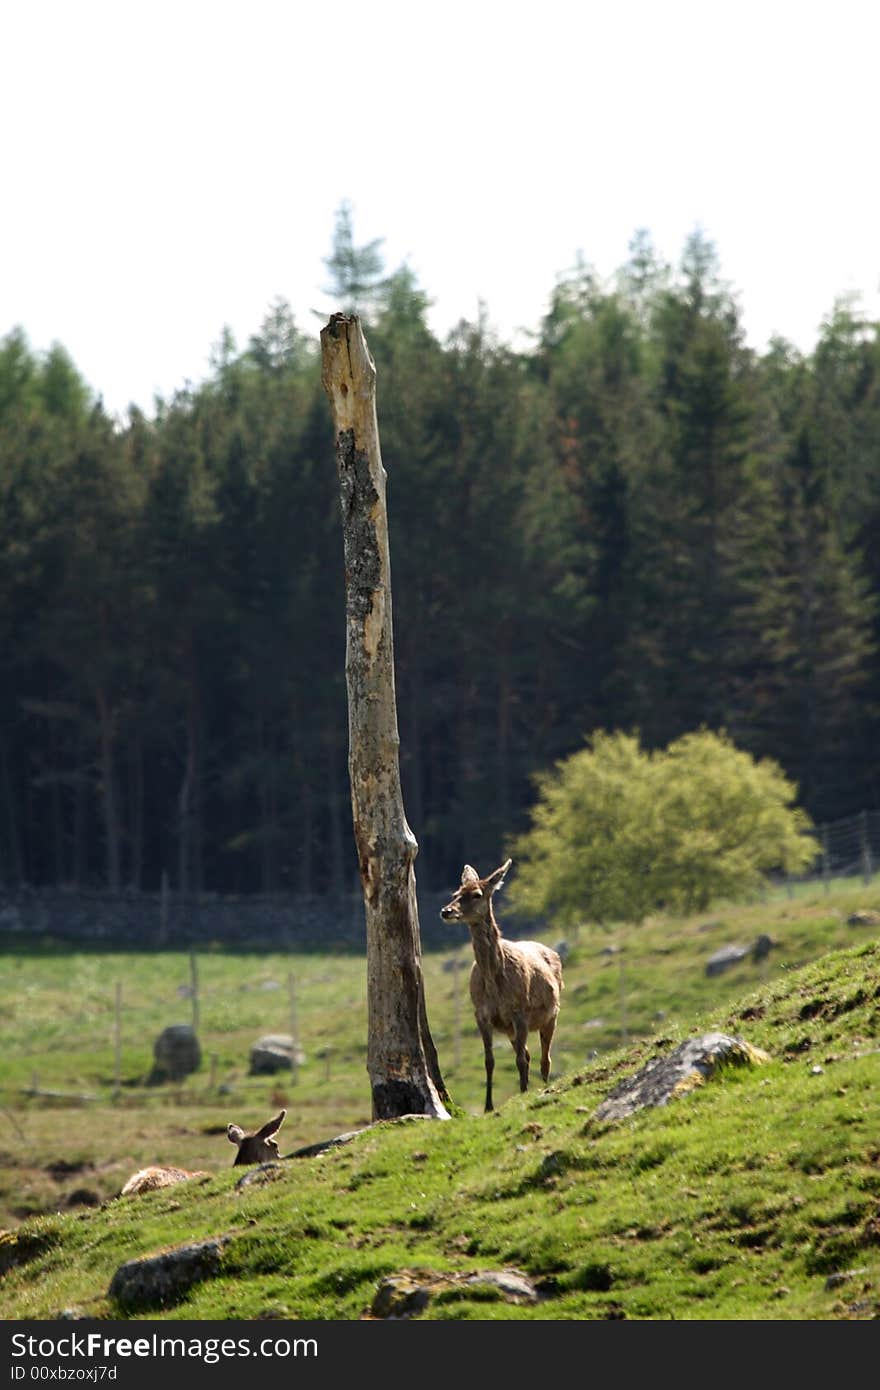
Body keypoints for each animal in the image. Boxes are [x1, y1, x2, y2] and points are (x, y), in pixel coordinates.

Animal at [439, 861, 561, 1112]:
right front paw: (488, 1106)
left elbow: (520, 1060)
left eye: (477, 894)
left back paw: (543, 1086)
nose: (446, 911)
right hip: (512, 1029)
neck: (495, 983)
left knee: (544, 1058)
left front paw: (523, 1094)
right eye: (456, 894)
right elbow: (490, 1060)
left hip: (552, 1014)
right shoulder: (481, 1014)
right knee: (529, 1055)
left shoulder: (520, 1011)